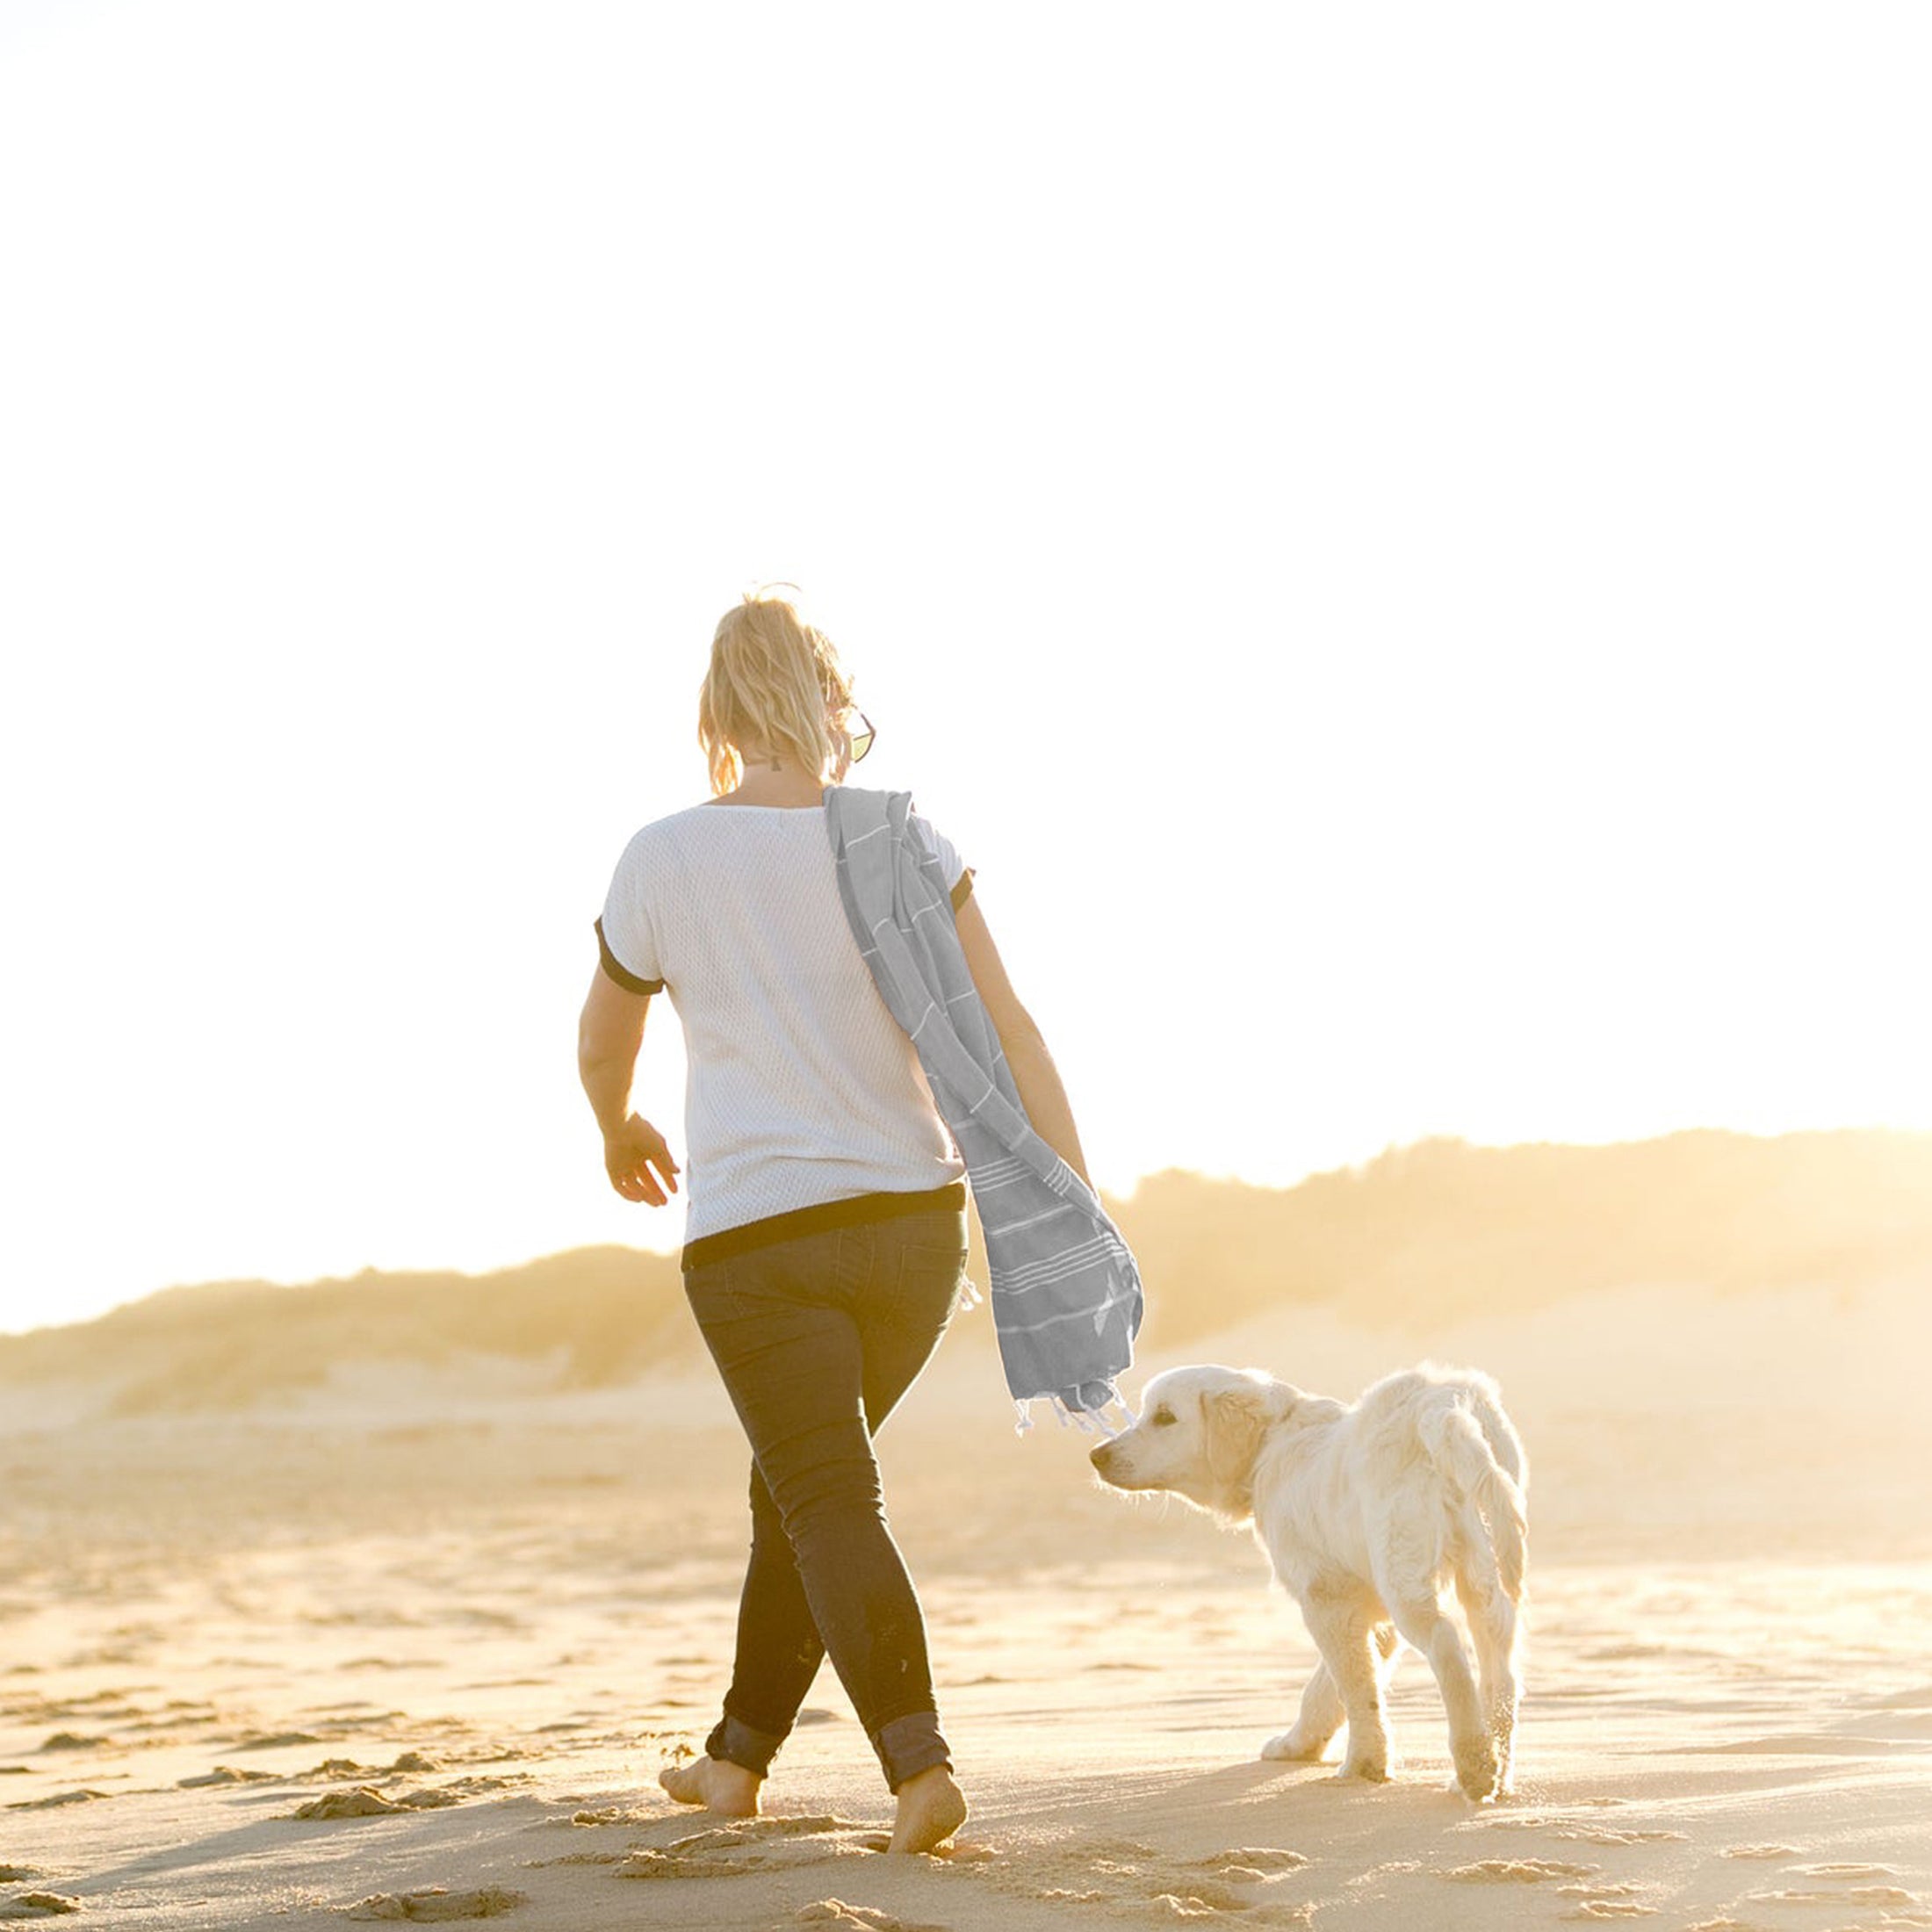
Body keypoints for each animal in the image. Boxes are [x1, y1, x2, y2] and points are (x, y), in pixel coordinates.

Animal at [1097, 1367, 1530, 1800]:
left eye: (1165, 1417)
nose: (1097, 1456)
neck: (1271, 1442)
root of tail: (1443, 1405)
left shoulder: (1325, 1597)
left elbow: (1355, 1686)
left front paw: (1363, 1764)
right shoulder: (1363, 1603)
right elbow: (1328, 1687)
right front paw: (1298, 1745)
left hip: (1403, 1563)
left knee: (1445, 1643)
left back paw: (1474, 1764)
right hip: (1485, 1564)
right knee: (1501, 1665)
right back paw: (1496, 1772)